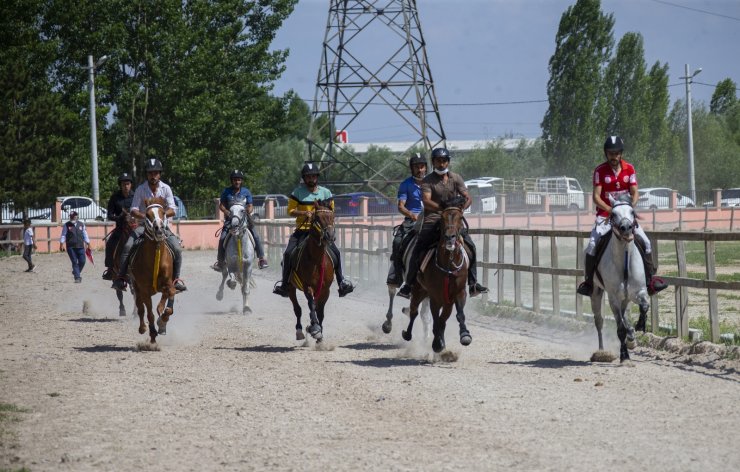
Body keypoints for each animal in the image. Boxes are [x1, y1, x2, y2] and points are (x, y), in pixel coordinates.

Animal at [129, 195, 176, 342]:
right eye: (147, 215)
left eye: (163, 212)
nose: (159, 228)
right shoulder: (144, 290)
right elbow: (149, 313)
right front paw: (153, 333)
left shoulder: (168, 283)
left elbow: (169, 300)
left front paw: (162, 320)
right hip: (137, 288)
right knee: (141, 309)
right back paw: (143, 328)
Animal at [286, 200, 336, 342]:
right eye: (317, 218)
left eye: (333, 216)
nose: (330, 236)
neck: (316, 260)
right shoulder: (307, 286)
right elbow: (311, 306)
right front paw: (315, 329)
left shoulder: (325, 289)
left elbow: (320, 311)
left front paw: (320, 335)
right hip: (290, 287)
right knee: (297, 309)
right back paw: (300, 331)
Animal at [402, 197, 472, 352]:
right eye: (442, 218)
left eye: (460, 217)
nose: (450, 237)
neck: (448, 265)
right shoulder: (435, 296)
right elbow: (435, 320)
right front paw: (436, 343)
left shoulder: (457, 294)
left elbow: (456, 316)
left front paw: (464, 335)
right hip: (418, 290)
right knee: (414, 311)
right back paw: (407, 334)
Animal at [588, 195, 648, 362]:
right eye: (613, 214)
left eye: (632, 211)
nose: (626, 228)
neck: (624, 261)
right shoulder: (613, 297)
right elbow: (620, 328)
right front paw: (624, 357)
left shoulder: (639, 291)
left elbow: (644, 306)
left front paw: (640, 326)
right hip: (596, 293)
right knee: (599, 321)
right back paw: (601, 352)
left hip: (626, 297)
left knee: (625, 314)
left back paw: (631, 337)